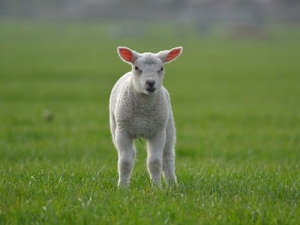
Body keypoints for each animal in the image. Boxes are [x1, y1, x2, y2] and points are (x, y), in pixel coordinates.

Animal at [109, 45, 182, 186]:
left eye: (161, 68)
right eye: (136, 68)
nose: (150, 82)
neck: (143, 113)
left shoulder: (158, 132)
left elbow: (155, 163)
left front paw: (157, 187)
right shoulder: (122, 131)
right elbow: (125, 162)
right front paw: (122, 187)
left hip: (169, 126)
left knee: (167, 156)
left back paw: (172, 185)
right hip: (114, 127)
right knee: (131, 154)